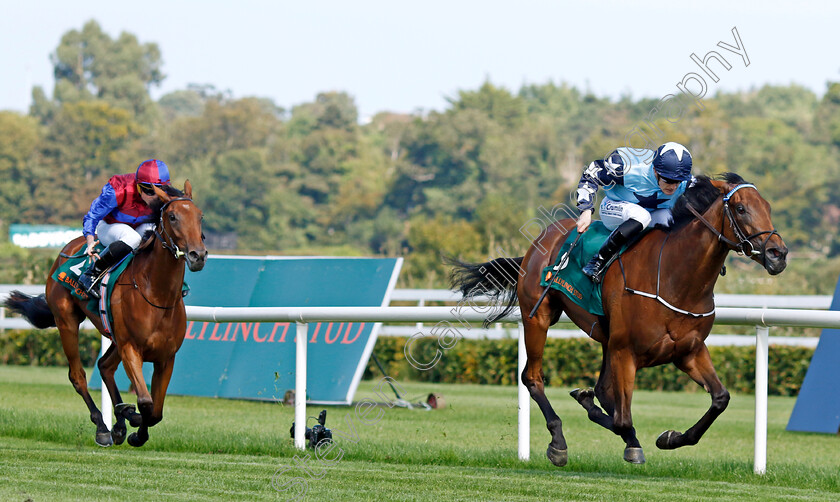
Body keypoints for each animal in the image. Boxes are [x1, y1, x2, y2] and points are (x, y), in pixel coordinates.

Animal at [5, 180, 207, 448]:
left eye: (200, 216)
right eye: (172, 217)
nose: (198, 255)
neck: (157, 294)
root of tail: (67, 248)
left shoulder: (166, 357)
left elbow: (156, 412)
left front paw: (131, 426)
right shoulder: (131, 348)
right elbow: (146, 403)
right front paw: (134, 430)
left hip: (113, 335)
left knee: (104, 366)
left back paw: (120, 421)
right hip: (67, 322)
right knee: (78, 375)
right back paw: (103, 426)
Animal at [452, 175, 788, 464]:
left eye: (768, 207)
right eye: (741, 208)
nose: (778, 254)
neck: (675, 277)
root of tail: (541, 240)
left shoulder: (688, 351)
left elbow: (720, 399)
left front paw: (670, 437)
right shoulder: (626, 351)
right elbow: (623, 419)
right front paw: (631, 441)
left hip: (605, 337)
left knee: (600, 390)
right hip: (539, 318)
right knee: (532, 378)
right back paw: (558, 441)